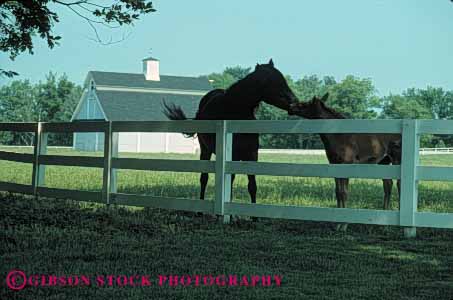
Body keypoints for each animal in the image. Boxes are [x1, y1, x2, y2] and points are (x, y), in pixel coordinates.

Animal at [162, 59, 296, 206]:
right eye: (273, 82)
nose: (294, 101)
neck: (235, 111)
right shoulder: (232, 155)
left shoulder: (251, 154)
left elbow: (252, 186)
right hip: (205, 149)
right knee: (204, 177)